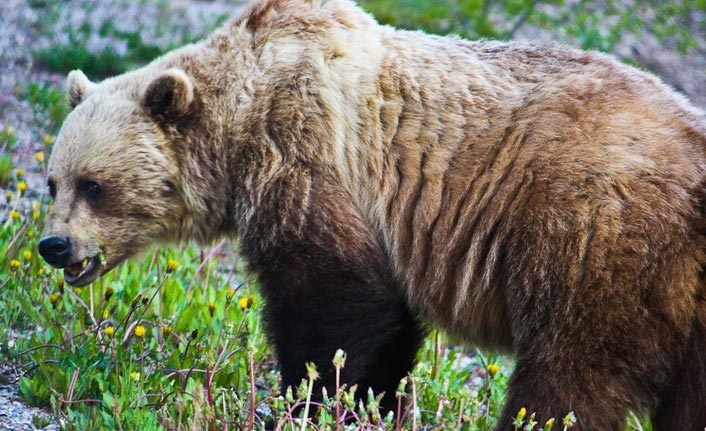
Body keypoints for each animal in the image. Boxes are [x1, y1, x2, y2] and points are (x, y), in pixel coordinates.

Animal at [37, 0, 704, 430]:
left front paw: (321, 401)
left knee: (571, 374)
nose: (54, 246)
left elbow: (339, 302)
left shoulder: (307, 149)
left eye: (94, 185)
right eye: (53, 182)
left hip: (597, 241)